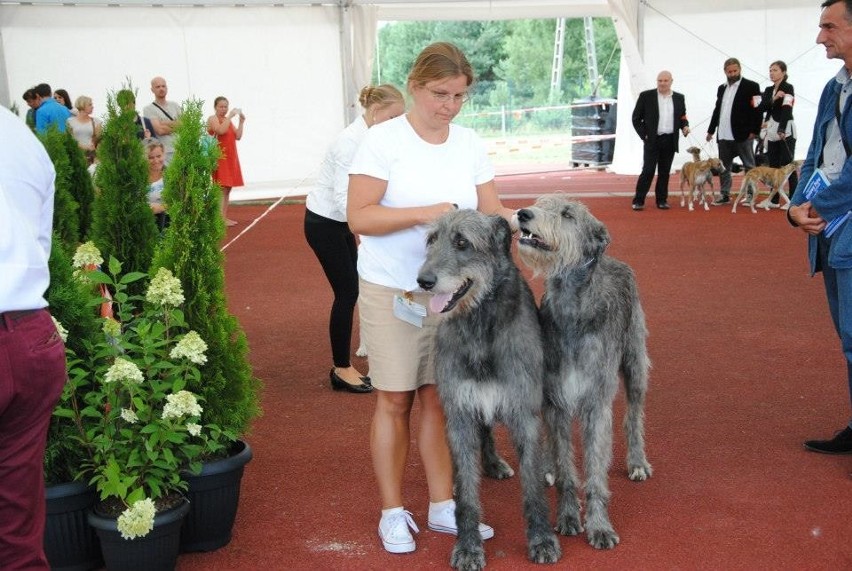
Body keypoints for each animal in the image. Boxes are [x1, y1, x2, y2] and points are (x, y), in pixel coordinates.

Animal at [416, 210, 564, 571]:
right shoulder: (460, 411)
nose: (423, 281)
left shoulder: (524, 413)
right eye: (431, 240)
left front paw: (541, 539)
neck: (480, 324)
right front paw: (468, 546)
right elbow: (468, 495)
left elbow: (532, 486)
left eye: (462, 242)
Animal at [512, 196, 652, 548]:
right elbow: (565, 469)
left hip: (635, 361)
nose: (523, 213)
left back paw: (637, 462)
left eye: (567, 214)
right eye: (539, 202)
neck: (573, 310)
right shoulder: (556, 401)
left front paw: (599, 526)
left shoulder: (596, 405)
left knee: (634, 415)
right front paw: (568, 517)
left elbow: (596, 475)